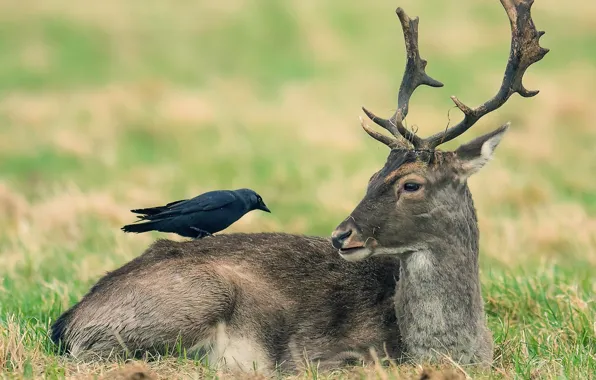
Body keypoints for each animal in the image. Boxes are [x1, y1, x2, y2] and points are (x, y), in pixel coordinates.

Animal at [49, 0, 548, 374]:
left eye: (411, 184)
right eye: (371, 177)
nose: (341, 234)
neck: (449, 350)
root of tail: (68, 321)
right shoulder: (327, 358)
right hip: (197, 297)